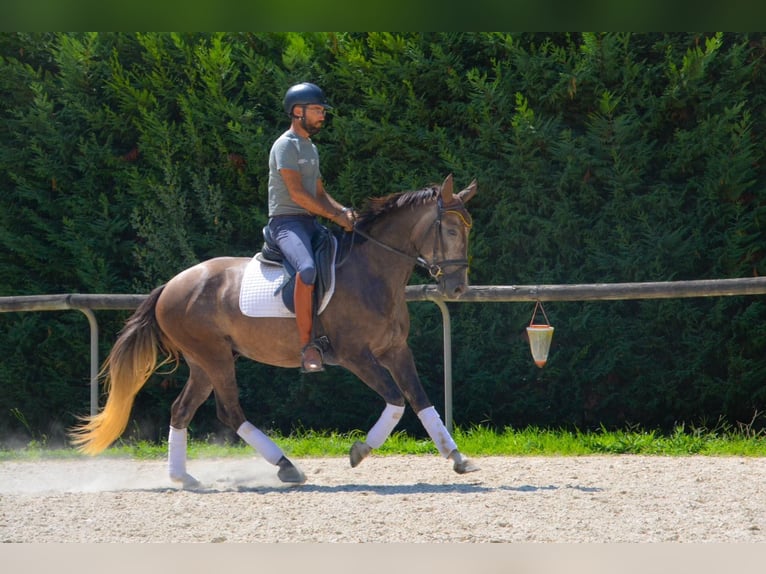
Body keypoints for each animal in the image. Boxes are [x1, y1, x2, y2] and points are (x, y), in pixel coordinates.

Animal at [70, 174, 479, 487]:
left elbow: (421, 399)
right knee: (230, 412)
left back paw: (183, 477)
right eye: (451, 229)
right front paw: (360, 450)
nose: (457, 288)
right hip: (215, 358)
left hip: (203, 362)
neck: (372, 272)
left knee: (182, 410)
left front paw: (457, 457)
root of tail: (170, 286)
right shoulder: (356, 356)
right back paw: (286, 467)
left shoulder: (395, 349)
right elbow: (396, 401)